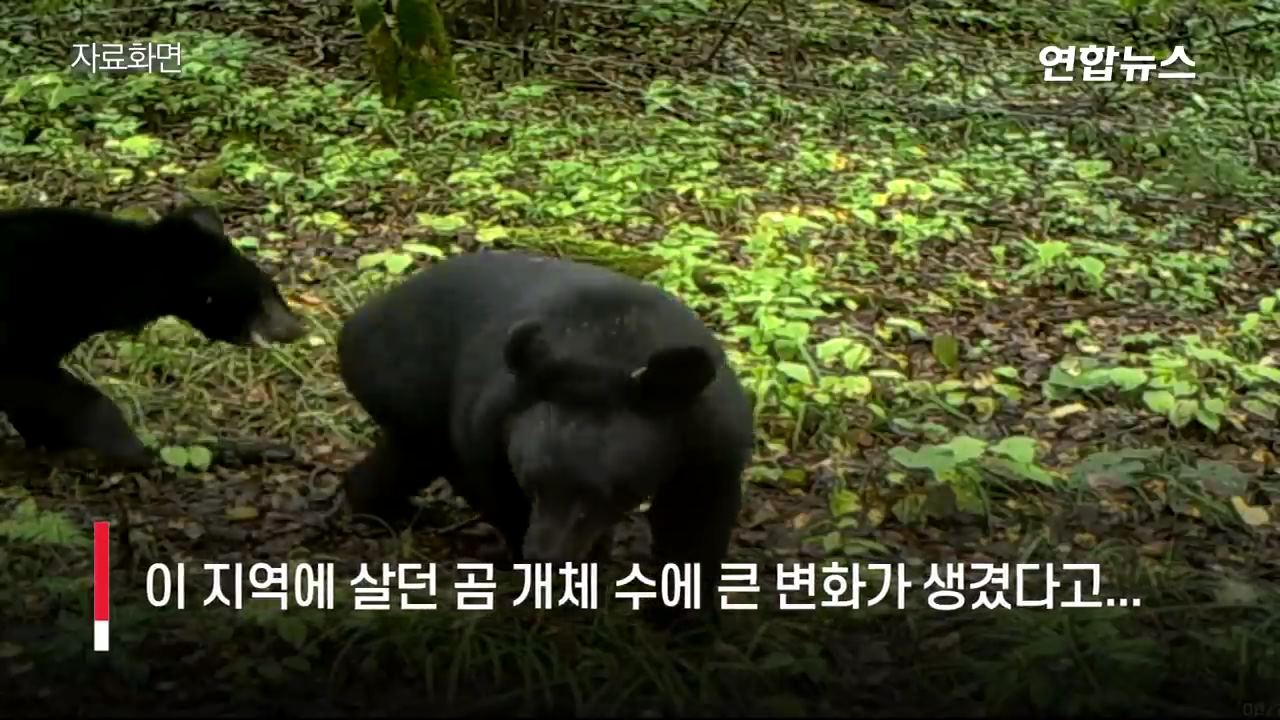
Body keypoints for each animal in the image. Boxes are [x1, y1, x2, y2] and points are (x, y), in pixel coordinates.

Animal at [340, 249, 752, 614]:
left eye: (600, 494)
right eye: (533, 484)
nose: (545, 557)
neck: (606, 353)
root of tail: (356, 322)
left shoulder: (710, 444)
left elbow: (693, 519)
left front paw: (680, 616)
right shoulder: (490, 420)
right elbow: (498, 491)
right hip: (412, 391)